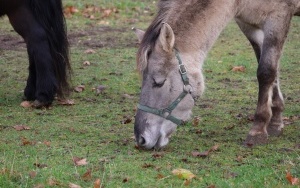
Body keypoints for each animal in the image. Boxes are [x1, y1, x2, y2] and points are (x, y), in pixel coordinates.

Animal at [134, 0, 300, 150]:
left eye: (159, 82)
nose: (141, 138)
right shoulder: (248, 25)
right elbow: (271, 69)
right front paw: (275, 122)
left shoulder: (278, 18)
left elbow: (266, 72)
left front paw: (258, 130)